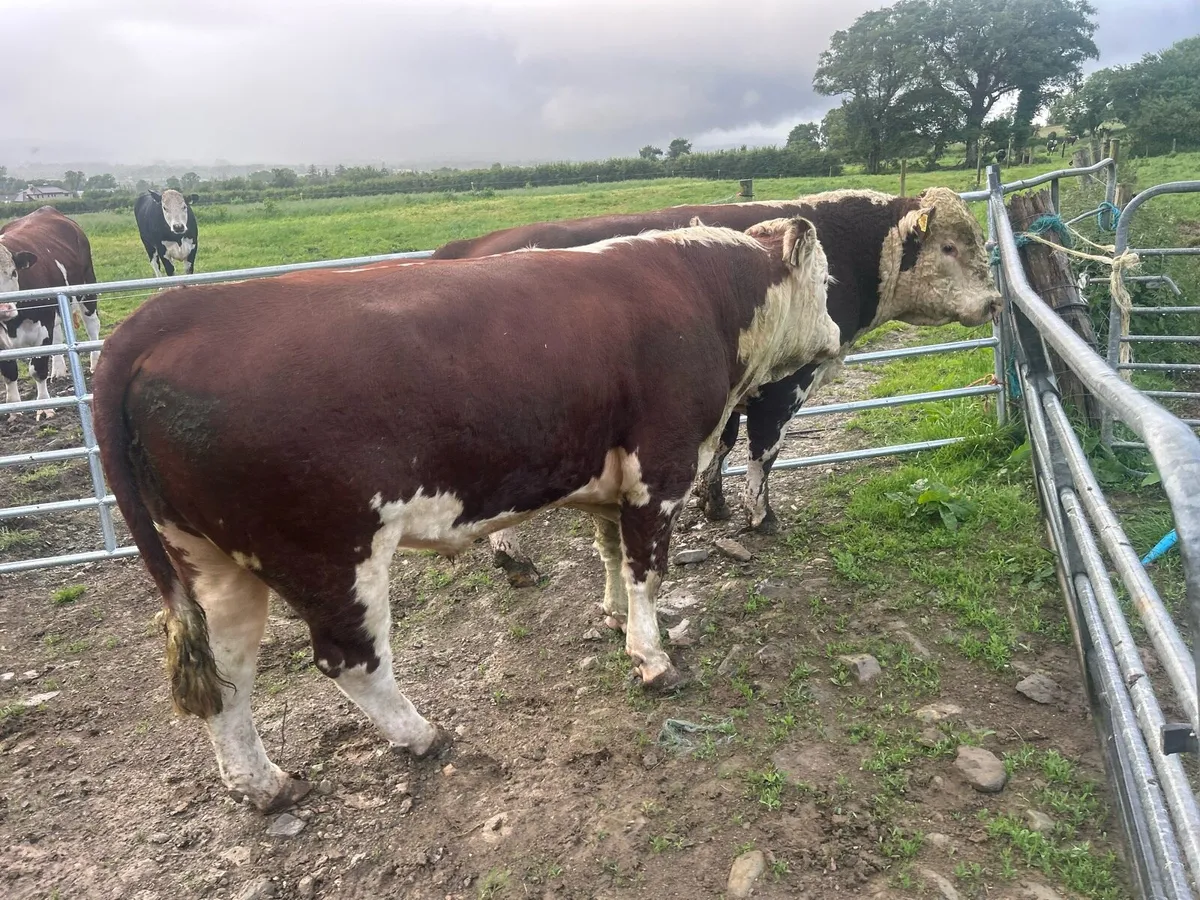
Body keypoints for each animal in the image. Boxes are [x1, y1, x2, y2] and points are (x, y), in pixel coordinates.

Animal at [0, 206, 101, 419]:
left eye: (13, 272)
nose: (4, 309)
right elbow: (9, 373)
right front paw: (14, 410)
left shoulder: (42, 328)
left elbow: (38, 370)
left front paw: (45, 407)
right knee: (58, 335)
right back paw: (59, 371)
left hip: (87, 288)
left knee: (92, 326)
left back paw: (95, 362)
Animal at [92, 217, 842, 812]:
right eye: (829, 282)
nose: (838, 333)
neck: (701, 295)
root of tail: (170, 316)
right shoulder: (661, 469)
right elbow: (646, 573)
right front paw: (652, 658)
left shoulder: (607, 477)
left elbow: (607, 551)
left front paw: (609, 618)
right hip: (328, 548)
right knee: (351, 660)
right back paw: (421, 735)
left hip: (208, 557)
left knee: (228, 672)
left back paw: (265, 784)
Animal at [435, 187, 1003, 590]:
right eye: (950, 246)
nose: (996, 301)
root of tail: (465, 247)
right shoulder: (783, 387)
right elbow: (764, 452)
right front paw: (761, 516)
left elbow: (726, 445)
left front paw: (715, 503)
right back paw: (515, 560)